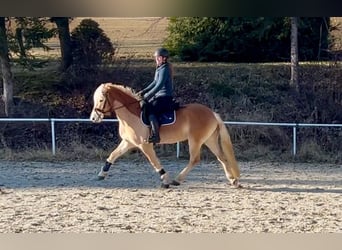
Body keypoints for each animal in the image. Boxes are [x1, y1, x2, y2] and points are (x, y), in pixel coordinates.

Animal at [90, 83, 240, 188]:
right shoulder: (128, 142)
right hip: (210, 140)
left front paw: (165, 180)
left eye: (101, 100)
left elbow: (154, 162)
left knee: (195, 159)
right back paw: (233, 180)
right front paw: (101, 174)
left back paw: (177, 180)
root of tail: (212, 113)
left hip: (195, 140)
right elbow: (113, 155)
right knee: (221, 157)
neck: (131, 115)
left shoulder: (145, 145)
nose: (93, 118)